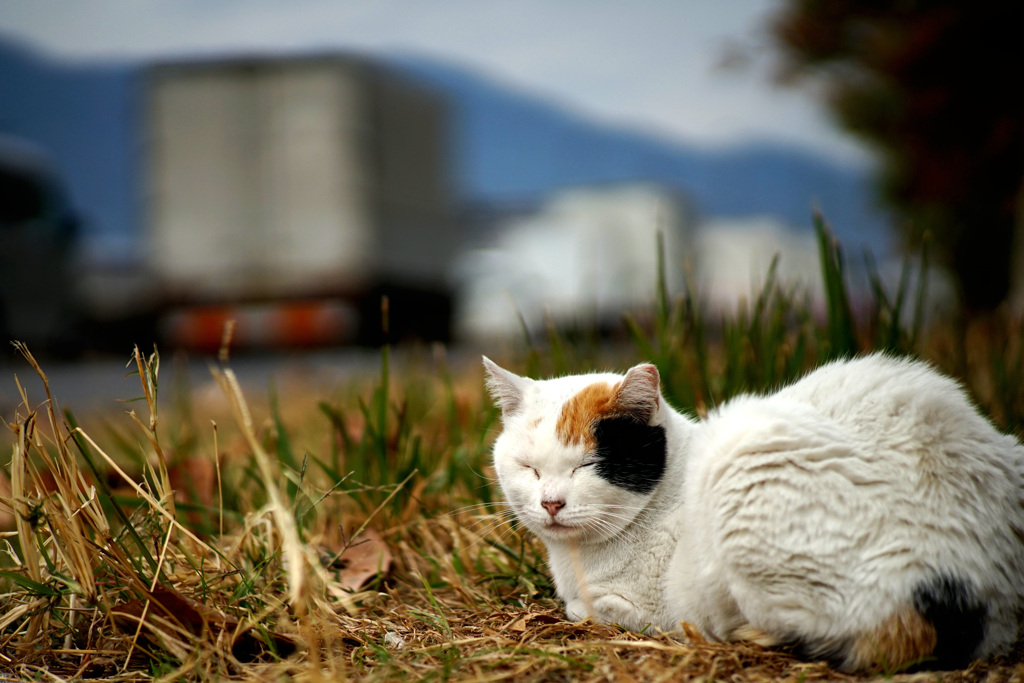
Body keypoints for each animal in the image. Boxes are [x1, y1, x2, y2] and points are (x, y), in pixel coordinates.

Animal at [483, 356, 1024, 675]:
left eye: (587, 466)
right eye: (529, 468)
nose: (551, 502)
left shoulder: (651, 606)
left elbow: (595, 609)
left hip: (745, 473)